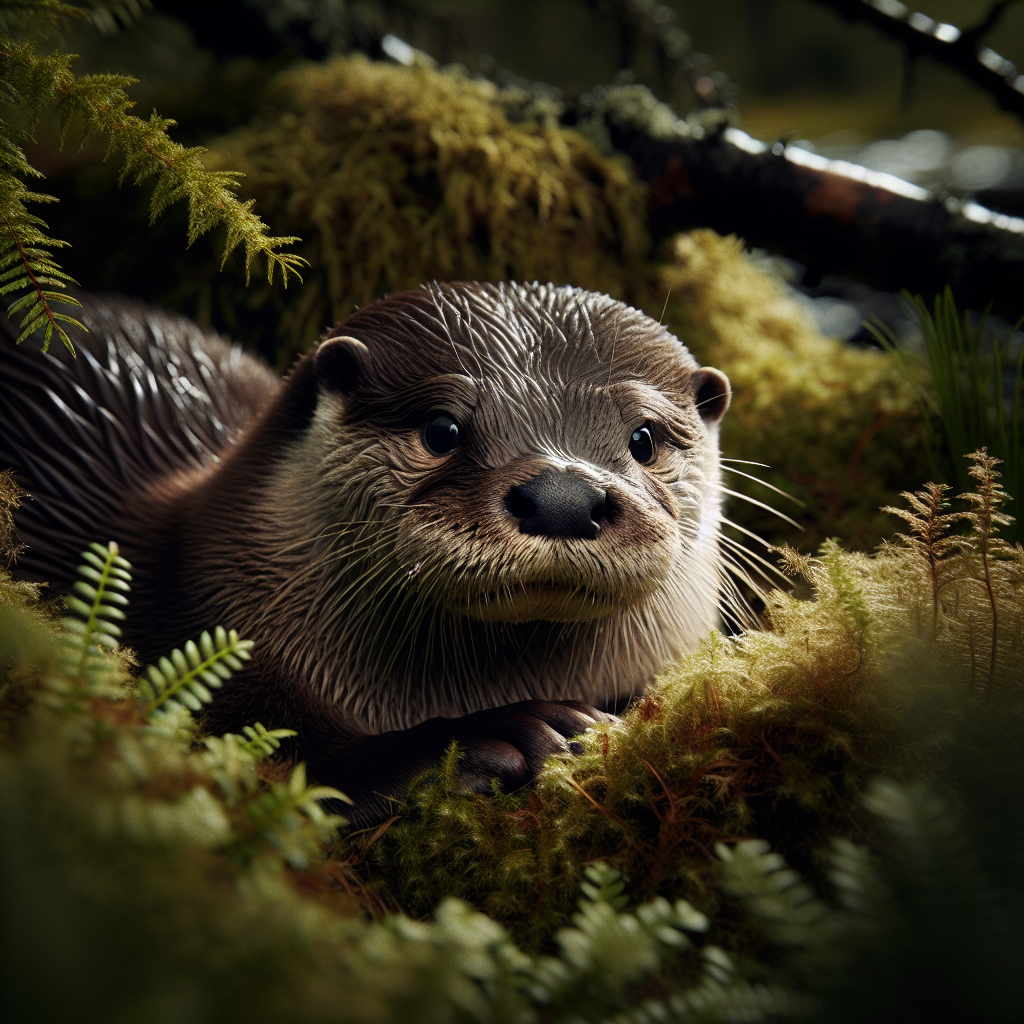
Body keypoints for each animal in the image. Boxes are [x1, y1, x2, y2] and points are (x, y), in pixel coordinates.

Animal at [0, 282, 732, 825]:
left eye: (643, 438)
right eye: (442, 429)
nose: (562, 496)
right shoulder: (197, 614)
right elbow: (287, 752)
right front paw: (502, 734)